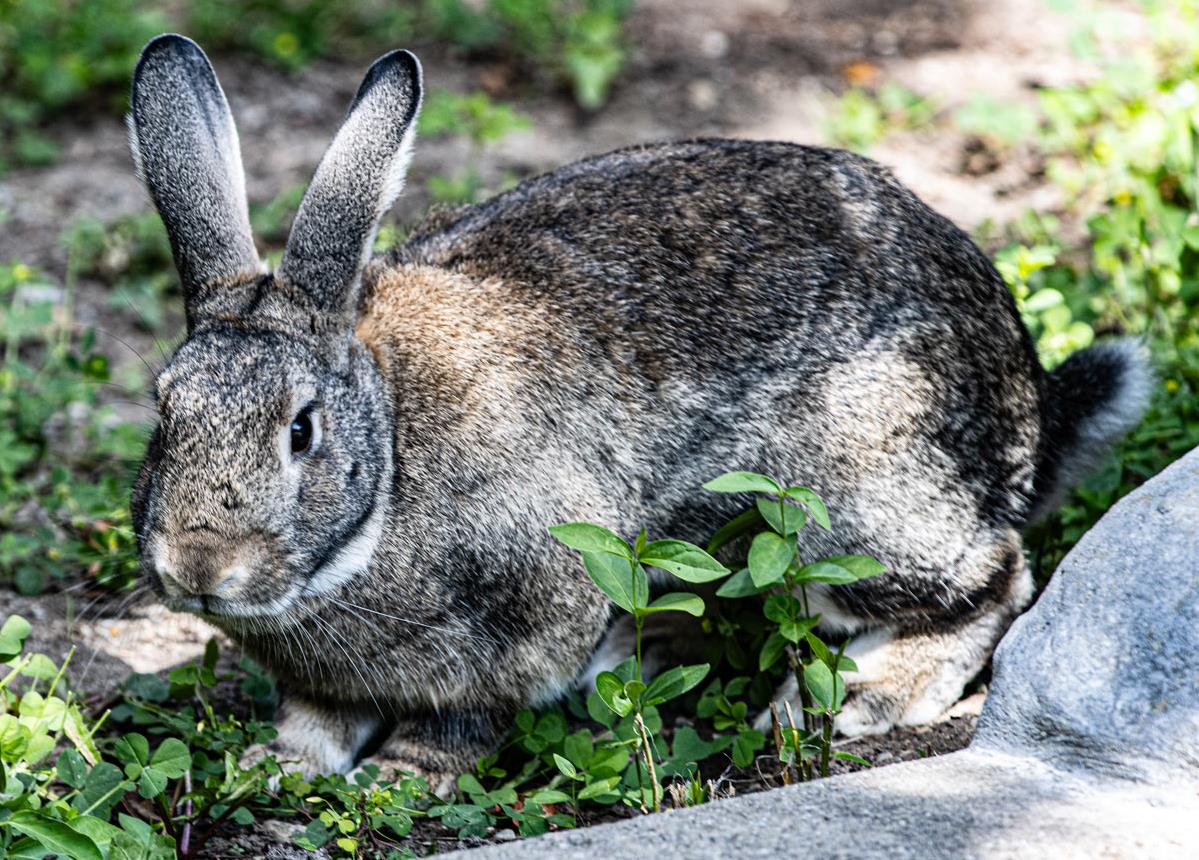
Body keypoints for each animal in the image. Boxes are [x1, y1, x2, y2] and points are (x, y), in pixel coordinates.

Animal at [127, 33, 1150, 785]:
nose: (199, 567)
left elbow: (469, 716)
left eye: (300, 430)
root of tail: (1021, 408)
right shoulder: (324, 679)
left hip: (852, 505)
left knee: (997, 579)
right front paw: (278, 769)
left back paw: (859, 696)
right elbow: (315, 721)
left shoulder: (534, 614)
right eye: (162, 417)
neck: (388, 472)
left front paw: (402, 776)